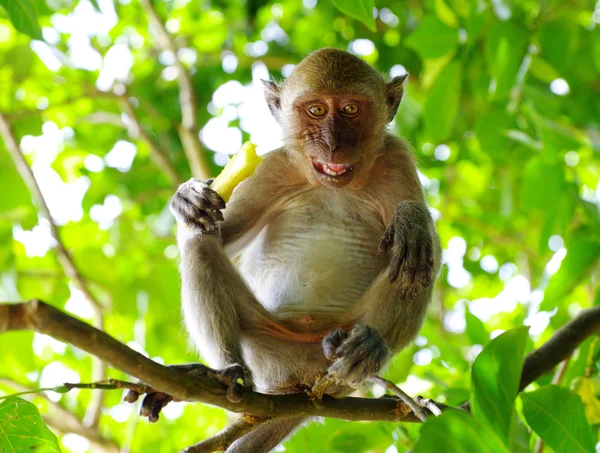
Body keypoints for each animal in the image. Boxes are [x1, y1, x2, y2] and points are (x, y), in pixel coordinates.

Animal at [126, 47, 440, 450]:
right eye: (317, 110)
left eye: (351, 109)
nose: (333, 142)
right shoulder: (273, 168)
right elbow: (218, 233)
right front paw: (187, 198)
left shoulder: (396, 160)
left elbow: (421, 239)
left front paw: (411, 218)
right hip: (269, 351)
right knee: (200, 242)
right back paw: (222, 374)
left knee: (418, 261)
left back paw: (367, 350)